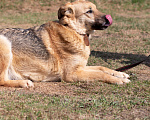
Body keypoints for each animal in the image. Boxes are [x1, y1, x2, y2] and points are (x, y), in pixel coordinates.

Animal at [0, 0, 129, 88]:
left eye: (96, 9)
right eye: (89, 11)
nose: (109, 19)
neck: (73, 30)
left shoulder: (81, 68)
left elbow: (101, 68)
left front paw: (120, 74)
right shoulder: (72, 74)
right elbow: (100, 74)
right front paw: (119, 80)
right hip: (5, 44)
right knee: (2, 80)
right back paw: (24, 82)